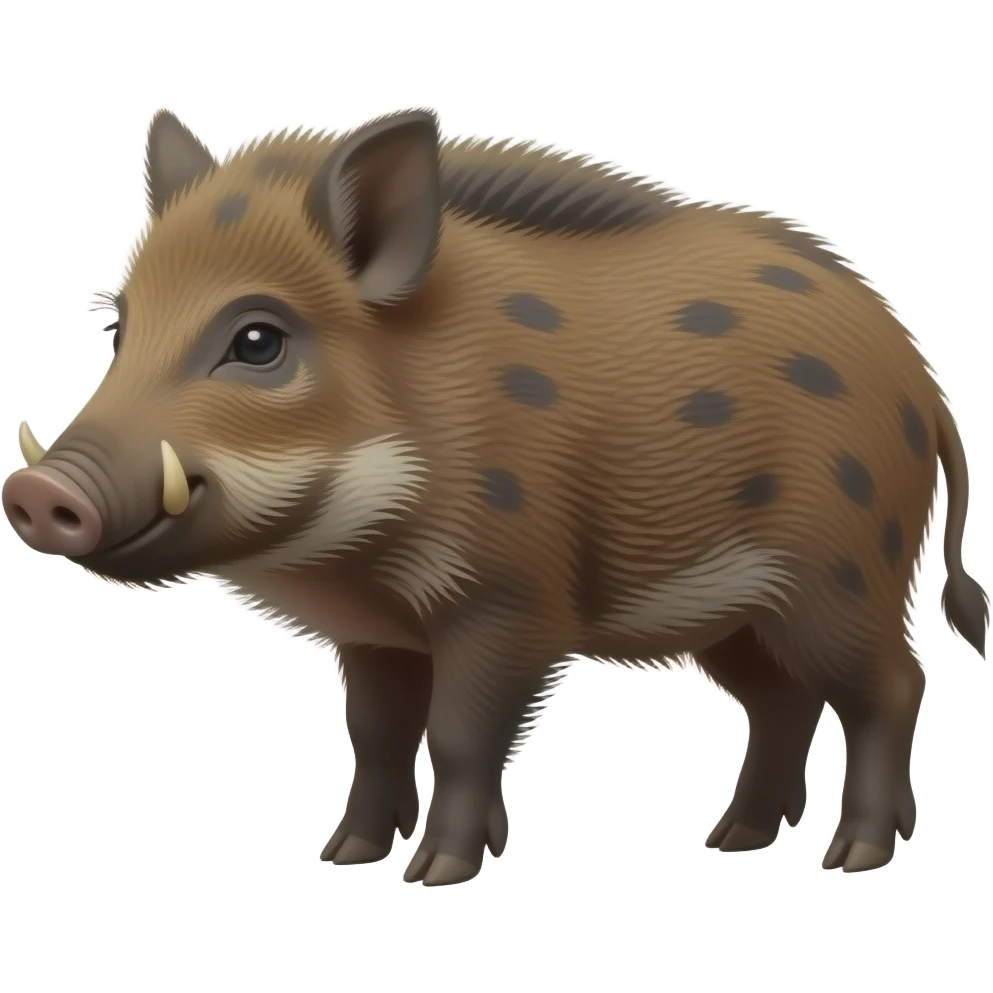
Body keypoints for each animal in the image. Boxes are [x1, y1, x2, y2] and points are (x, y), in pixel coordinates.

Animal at [3, 105, 988, 886]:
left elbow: (459, 734)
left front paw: (436, 873)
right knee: (782, 701)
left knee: (891, 686)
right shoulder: (375, 634)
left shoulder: (511, 603)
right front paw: (345, 855)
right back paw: (732, 839)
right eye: (118, 326)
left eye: (257, 340)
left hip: (843, 577)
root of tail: (923, 381)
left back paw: (851, 855)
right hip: (737, 618)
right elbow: (377, 735)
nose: (38, 490)